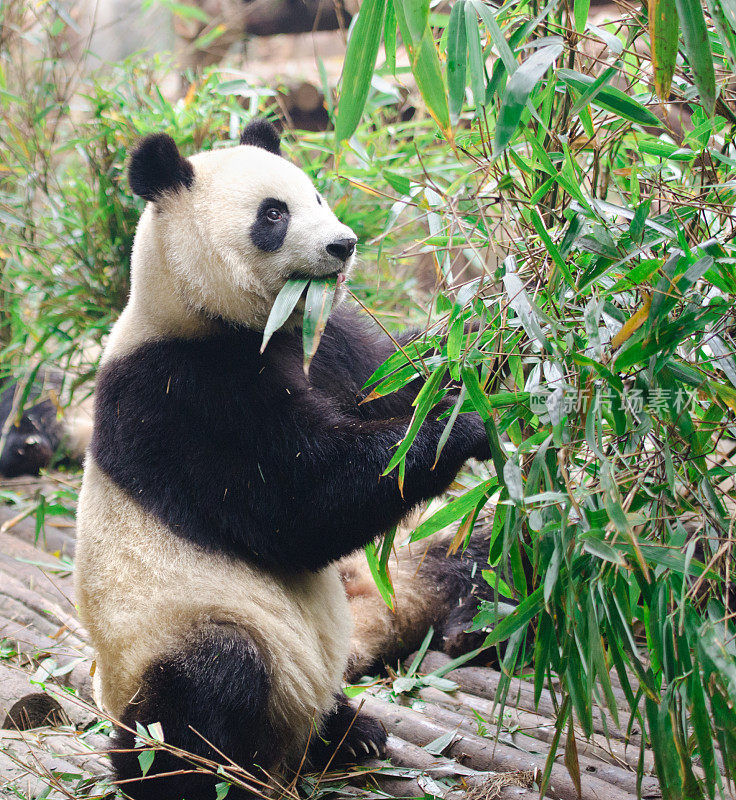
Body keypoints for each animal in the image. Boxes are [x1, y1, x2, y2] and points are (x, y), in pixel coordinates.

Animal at [75, 120, 492, 800]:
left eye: (316, 197)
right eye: (274, 214)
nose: (343, 244)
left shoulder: (325, 340)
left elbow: (391, 378)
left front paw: (496, 337)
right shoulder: (179, 394)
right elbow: (295, 504)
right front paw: (456, 427)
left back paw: (353, 732)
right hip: (172, 639)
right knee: (211, 683)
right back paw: (190, 775)